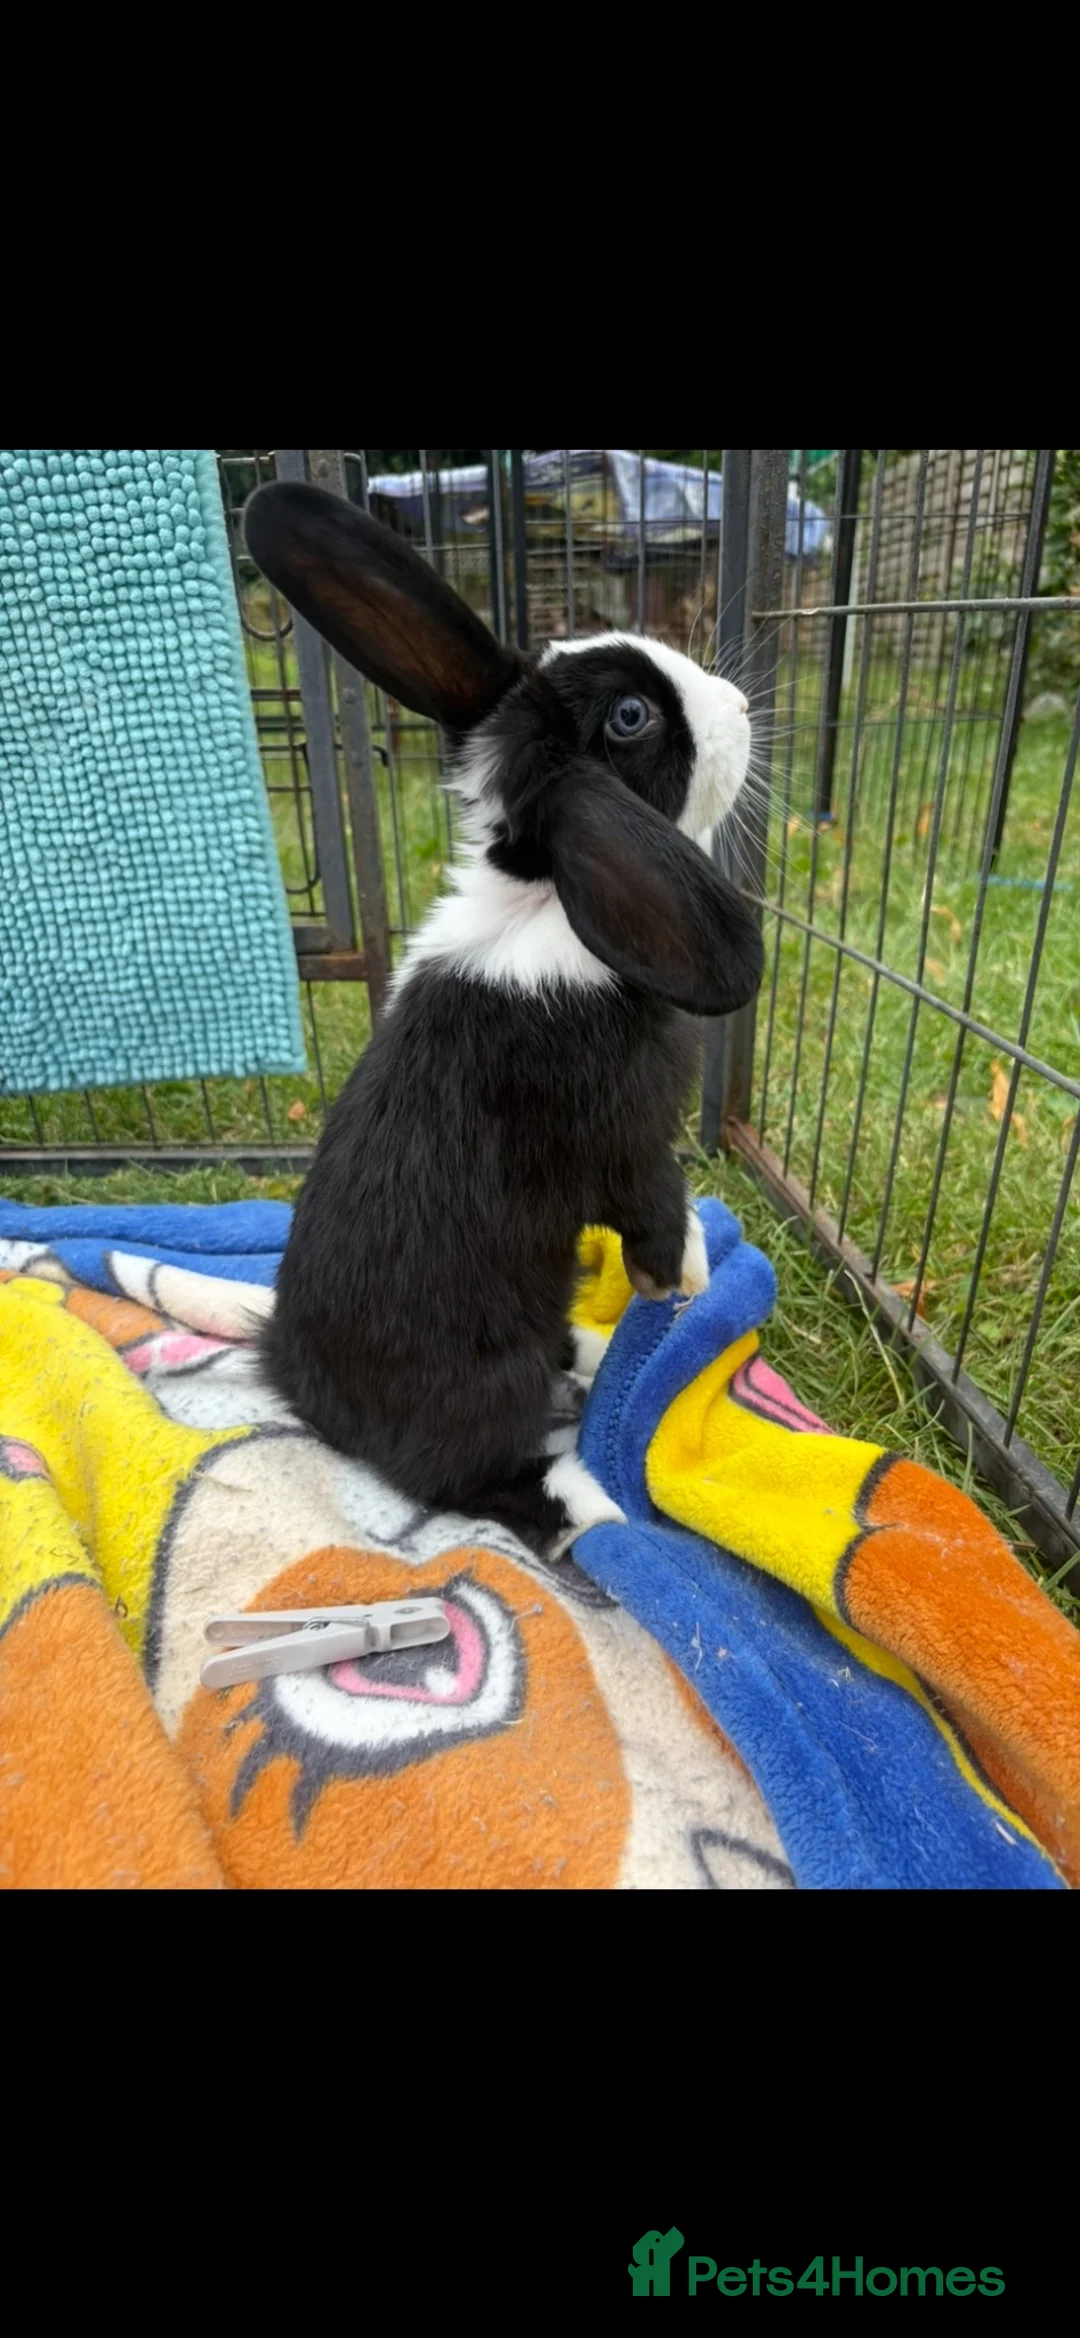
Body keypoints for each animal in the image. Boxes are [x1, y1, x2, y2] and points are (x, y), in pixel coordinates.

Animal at [243, 481, 763, 1559]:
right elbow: (660, 1199)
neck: (543, 899)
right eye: (632, 714)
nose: (739, 707)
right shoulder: (621, 1140)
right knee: (459, 1476)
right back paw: (584, 1504)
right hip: (487, 1382)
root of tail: (306, 1393)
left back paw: (596, 1349)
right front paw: (681, 1281)